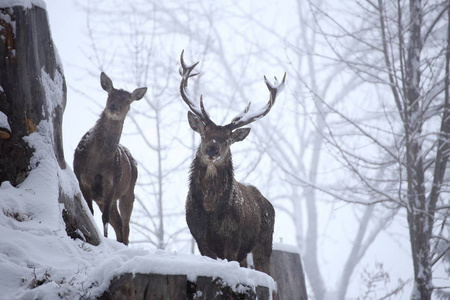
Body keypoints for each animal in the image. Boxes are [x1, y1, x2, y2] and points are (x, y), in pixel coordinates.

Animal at [72, 71, 146, 245]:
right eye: (110, 94)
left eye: (127, 100)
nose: (113, 108)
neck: (96, 162)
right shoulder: (82, 180)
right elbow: (91, 213)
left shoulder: (112, 183)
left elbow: (104, 218)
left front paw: (104, 240)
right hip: (104, 198)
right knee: (118, 225)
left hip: (128, 192)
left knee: (125, 226)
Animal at [178, 51, 284, 274]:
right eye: (203, 134)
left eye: (227, 139)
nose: (212, 150)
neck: (210, 212)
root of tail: (266, 201)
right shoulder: (200, 238)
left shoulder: (234, 238)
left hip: (264, 243)